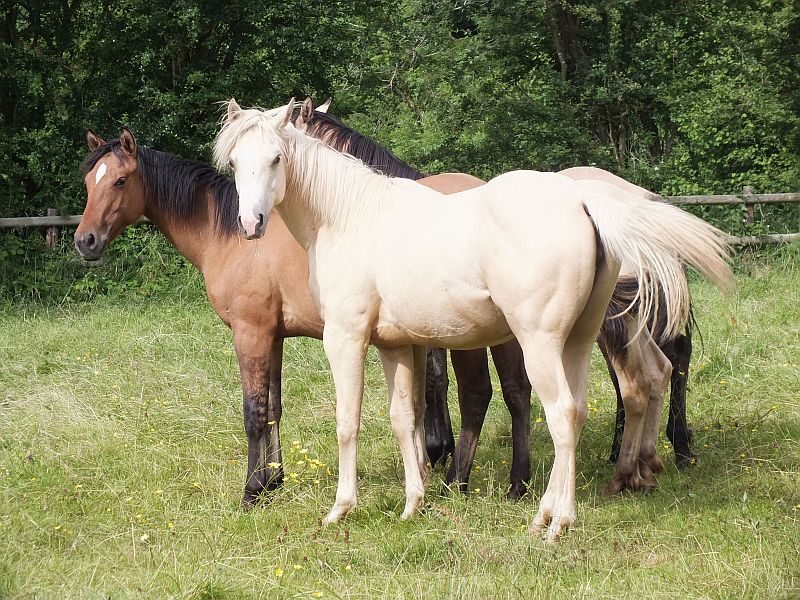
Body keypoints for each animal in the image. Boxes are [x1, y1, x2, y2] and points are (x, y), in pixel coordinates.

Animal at [214, 98, 732, 540]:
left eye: (277, 158)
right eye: (236, 162)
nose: (251, 223)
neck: (350, 216)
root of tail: (585, 202)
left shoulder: (346, 339)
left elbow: (349, 421)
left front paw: (341, 509)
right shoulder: (394, 344)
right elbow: (405, 418)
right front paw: (413, 503)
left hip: (544, 343)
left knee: (565, 412)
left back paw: (557, 521)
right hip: (580, 342)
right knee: (607, 397)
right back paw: (576, 497)